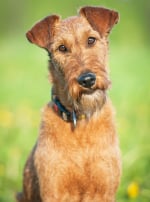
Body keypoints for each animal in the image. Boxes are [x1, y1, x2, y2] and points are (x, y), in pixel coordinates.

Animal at [16, 5, 121, 201]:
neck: (81, 122)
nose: (87, 80)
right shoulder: (54, 191)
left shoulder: (104, 190)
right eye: (62, 48)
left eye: (91, 40)